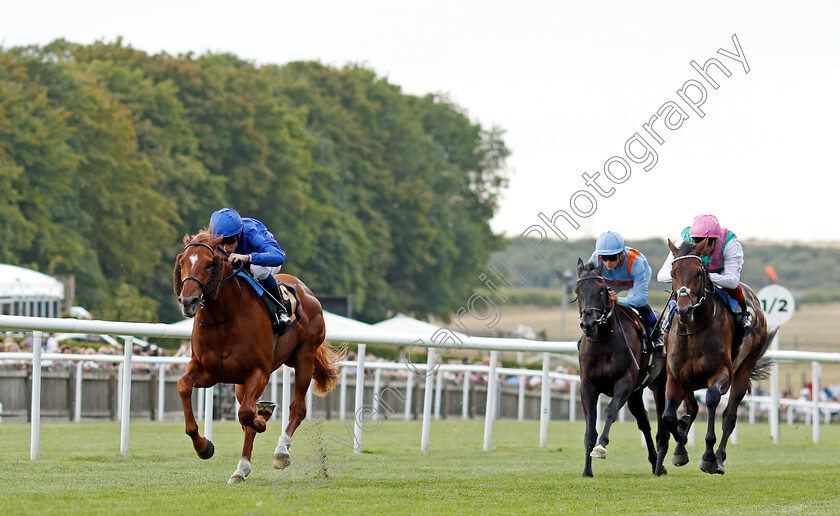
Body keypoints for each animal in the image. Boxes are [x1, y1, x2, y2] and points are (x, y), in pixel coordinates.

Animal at [172, 230, 342, 484]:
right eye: (182, 262)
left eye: (209, 264)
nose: (188, 301)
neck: (223, 318)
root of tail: (306, 290)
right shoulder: (208, 372)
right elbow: (184, 386)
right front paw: (204, 446)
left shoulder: (259, 372)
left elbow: (246, 414)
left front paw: (263, 419)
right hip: (241, 383)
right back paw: (240, 470)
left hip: (304, 357)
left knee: (297, 408)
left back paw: (281, 451)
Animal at [576, 260, 668, 478]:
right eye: (577, 290)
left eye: (601, 289)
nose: (589, 324)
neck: (603, 341)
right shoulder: (587, 386)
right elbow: (590, 429)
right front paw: (587, 470)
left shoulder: (624, 382)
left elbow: (610, 411)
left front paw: (600, 448)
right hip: (636, 393)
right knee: (644, 422)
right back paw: (655, 462)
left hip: (660, 385)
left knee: (662, 424)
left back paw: (659, 466)